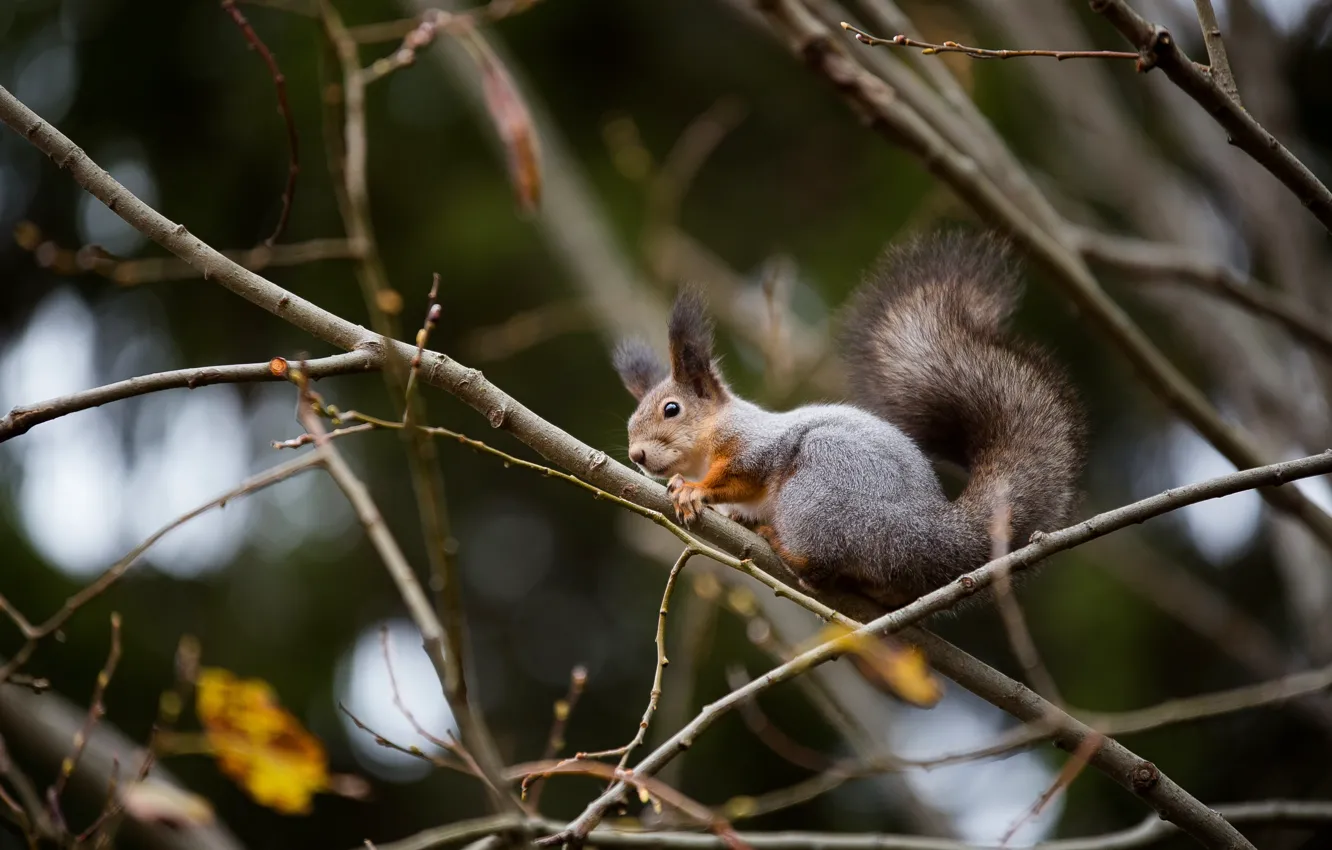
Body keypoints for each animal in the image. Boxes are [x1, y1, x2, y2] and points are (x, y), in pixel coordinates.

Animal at [611, 229, 1086, 609]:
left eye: (672, 409)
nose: (636, 455)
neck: (707, 443)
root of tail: (935, 535)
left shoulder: (754, 445)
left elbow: (741, 475)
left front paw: (694, 491)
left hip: (821, 491)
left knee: (820, 565)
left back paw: (782, 546)